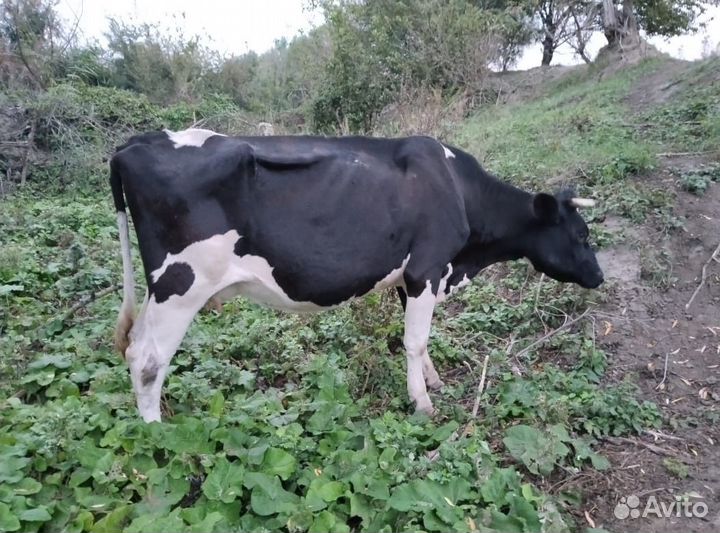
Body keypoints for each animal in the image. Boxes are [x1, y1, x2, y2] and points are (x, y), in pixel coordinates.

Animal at [110, 128, 603, 422]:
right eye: (580, 234)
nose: (599, 277)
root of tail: (137, 142)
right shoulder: (427, 267)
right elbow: (414, 340)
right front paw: (423, 402)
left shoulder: (412, 276)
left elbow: (420, 338)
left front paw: (432, 380)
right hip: (181, 284)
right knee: (149, 360)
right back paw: (158, 435)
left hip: (165, 290)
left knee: (136, 350)